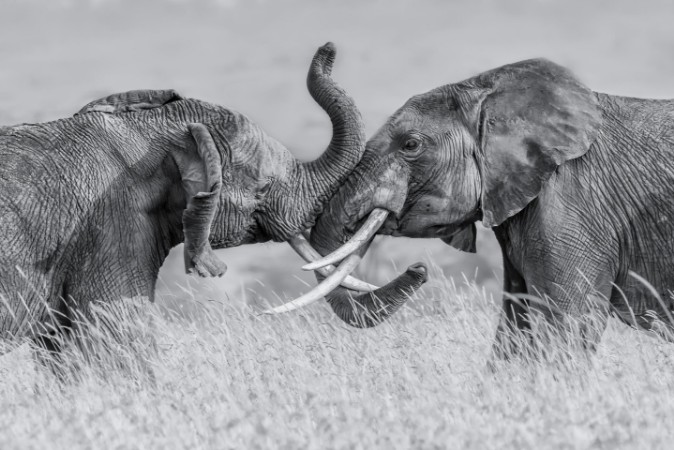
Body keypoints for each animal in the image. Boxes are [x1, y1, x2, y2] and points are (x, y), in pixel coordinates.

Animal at [269, 57, 674, 353]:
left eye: (410, 145)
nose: (419, 269)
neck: (487, 92)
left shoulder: (573, 202)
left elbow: (567, 326)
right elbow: (515, 328)